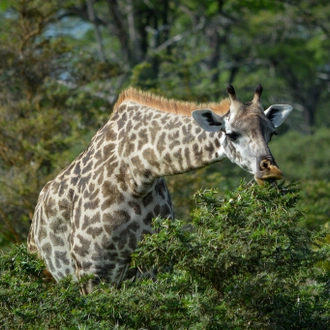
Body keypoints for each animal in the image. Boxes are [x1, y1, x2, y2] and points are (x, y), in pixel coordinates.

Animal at [27, 84, 292, 294]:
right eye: (232, 134)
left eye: (272, 132)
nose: (270, 170)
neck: (137, 174)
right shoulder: (93, 270)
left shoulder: (153, 267)